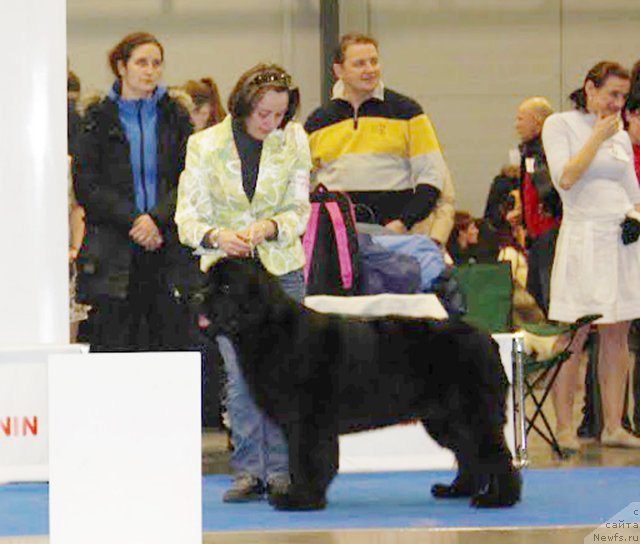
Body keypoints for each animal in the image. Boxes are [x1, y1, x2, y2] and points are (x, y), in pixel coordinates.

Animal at [204, 258, 520, 510]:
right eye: (208, 284)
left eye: (227, 287)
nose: (197, 297)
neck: (269, 329)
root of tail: (488, 339)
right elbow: (305, 461)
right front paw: (306, 496)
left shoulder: (308, 422)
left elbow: (306, 460)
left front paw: (301, 500)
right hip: (444, 420)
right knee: (469, 454)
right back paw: (456, 490)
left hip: (472, 414)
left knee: (496, 455)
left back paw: (498, 499)